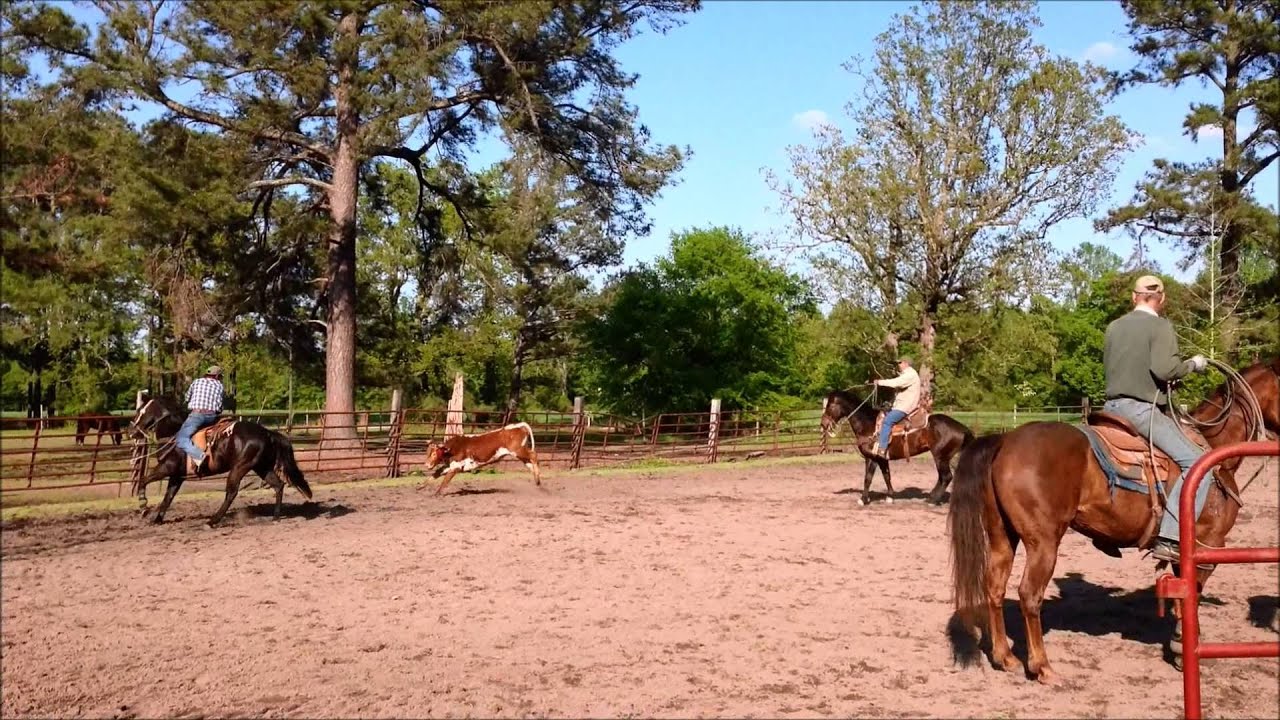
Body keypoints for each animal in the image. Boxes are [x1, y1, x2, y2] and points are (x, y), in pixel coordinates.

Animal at [128, 393, 313, 526]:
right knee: (278, 485)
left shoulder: (166, 468)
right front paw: (157, 519)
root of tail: (267, 433)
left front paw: (144, 507)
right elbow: (168, 497)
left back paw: (213, 521)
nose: (131, 432)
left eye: (141, 412)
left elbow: (143, 480)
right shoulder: (177, 476)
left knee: (231, 492)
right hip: (262, 467)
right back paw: (275, 517)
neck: (173, 433)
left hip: (239, 467)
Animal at [820, 388, 974, 506]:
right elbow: (886, 476)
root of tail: (962, 428)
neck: (869, 424)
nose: (823, 424)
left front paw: (863, 500)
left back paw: (933, 500)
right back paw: (931, 497)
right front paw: (890, 497)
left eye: (830, 405)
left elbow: (868, 478)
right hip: (944, 458)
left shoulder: (873, 458)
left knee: (946, 477)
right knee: (943, 477)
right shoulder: (881, 459)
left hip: (940, 457)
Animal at [947, 358, 1280, 684]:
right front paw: (1183, 648)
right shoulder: (1209, 544)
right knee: (1029, 595)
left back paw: (1005, 657)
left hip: (1002, 536)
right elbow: (1192, 595)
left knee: (995, 588)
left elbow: (1182, 594)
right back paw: (1042, 667)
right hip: (1042, 542)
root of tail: (1005, 441)